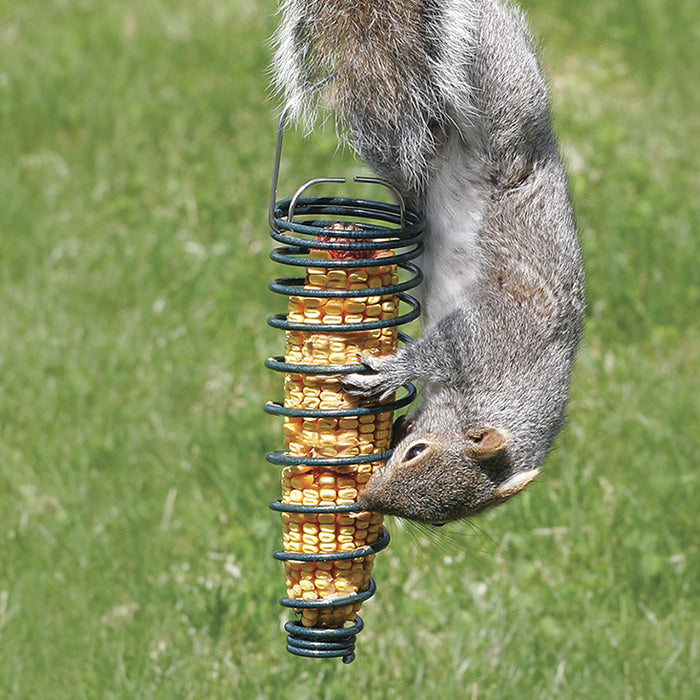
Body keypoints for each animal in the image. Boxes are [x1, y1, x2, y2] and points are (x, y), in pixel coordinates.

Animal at [274, 0, 584, 524]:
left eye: (438, 517)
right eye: (416, 453)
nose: (368, 501)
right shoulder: (487, 334)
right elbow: (438, 348)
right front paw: (395, 372)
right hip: (502, 100)